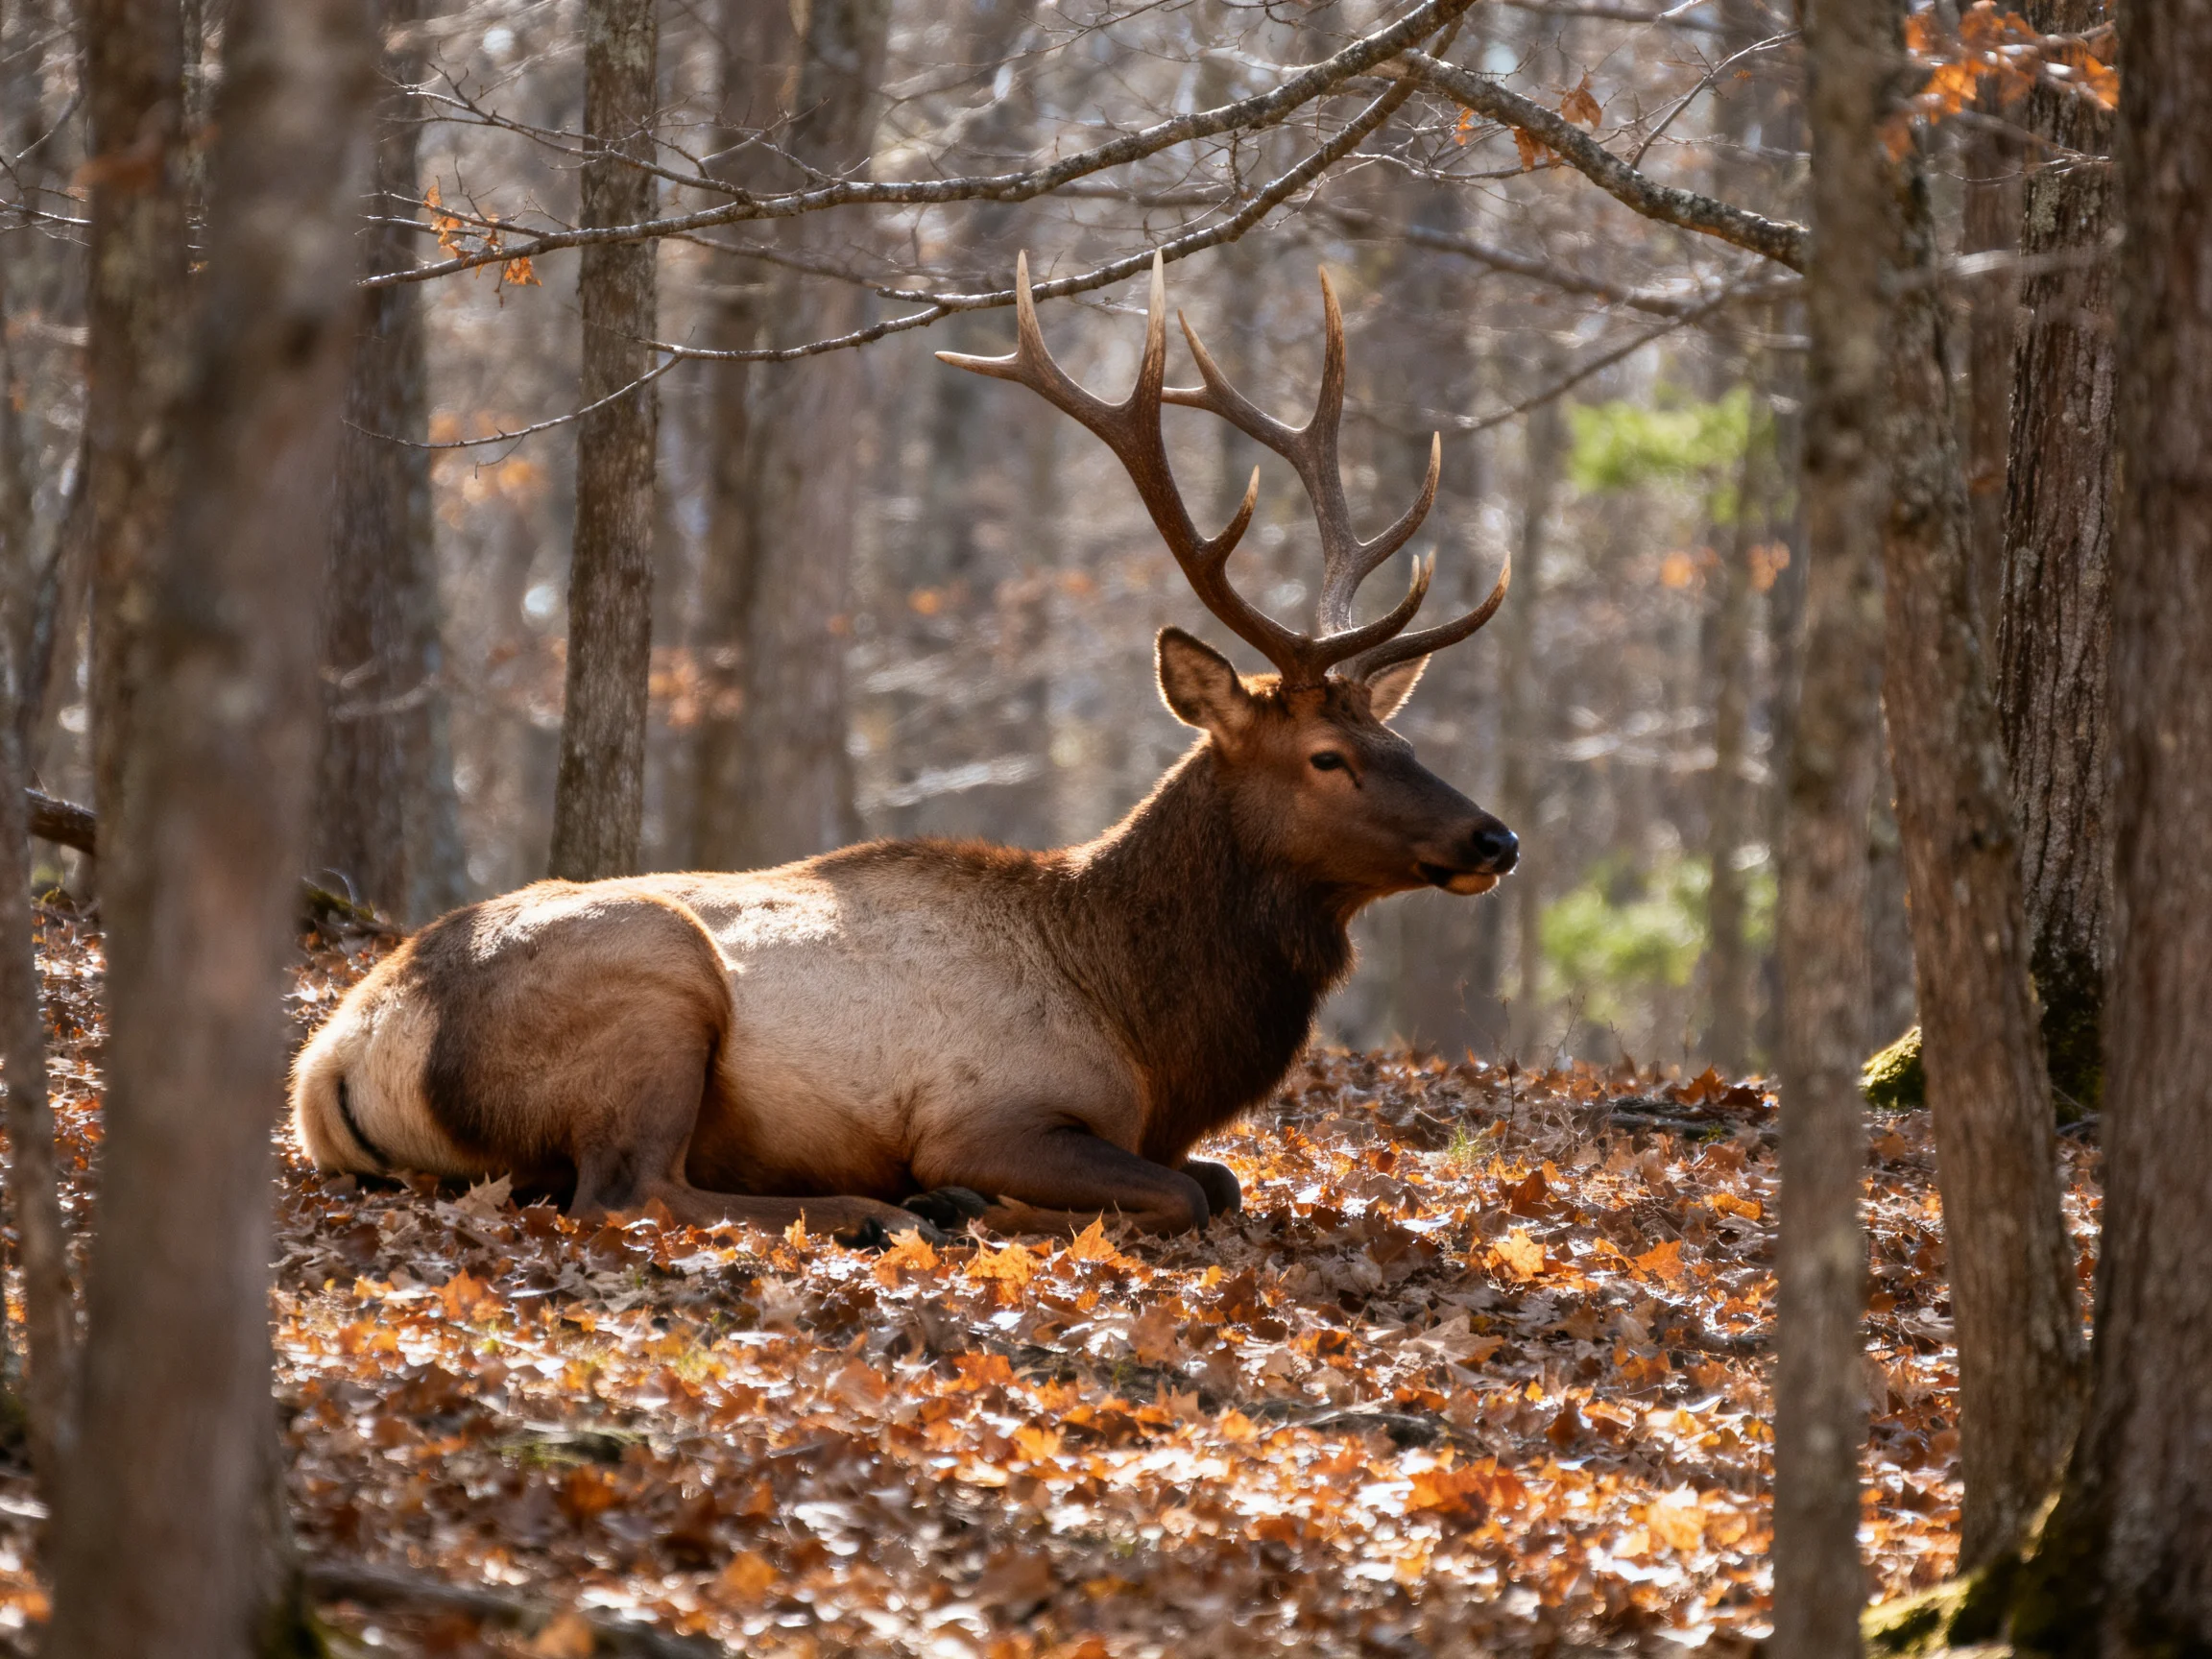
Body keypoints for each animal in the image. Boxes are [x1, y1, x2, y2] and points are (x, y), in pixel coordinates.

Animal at [289, 252, 1516, 1241]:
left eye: (1395, 731)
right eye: (1326, 757)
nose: (1494, 837)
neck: (1148, 1030)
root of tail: (341, 1054)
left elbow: (1221, 1180)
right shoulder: (992, 1110)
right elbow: (1187, 1193)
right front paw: (975, 1201)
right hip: (657, 981)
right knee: (630, 1189)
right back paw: (889, 1210)